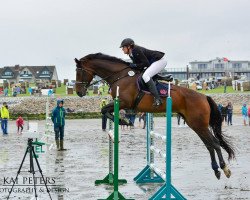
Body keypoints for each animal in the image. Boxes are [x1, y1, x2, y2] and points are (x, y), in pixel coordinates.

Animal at [74, 52, 234, 180]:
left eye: (79, 72)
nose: (79, 92)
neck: (120, 76)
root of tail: (204, 96)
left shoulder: (124, 102)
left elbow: (104, 110)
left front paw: (123, 121)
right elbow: (105, 111)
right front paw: (123, 121)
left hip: (199, 124)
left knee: (214, 143)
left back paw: (225, 169)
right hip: (195, 124)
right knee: (209, 145)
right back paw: (216, 170)